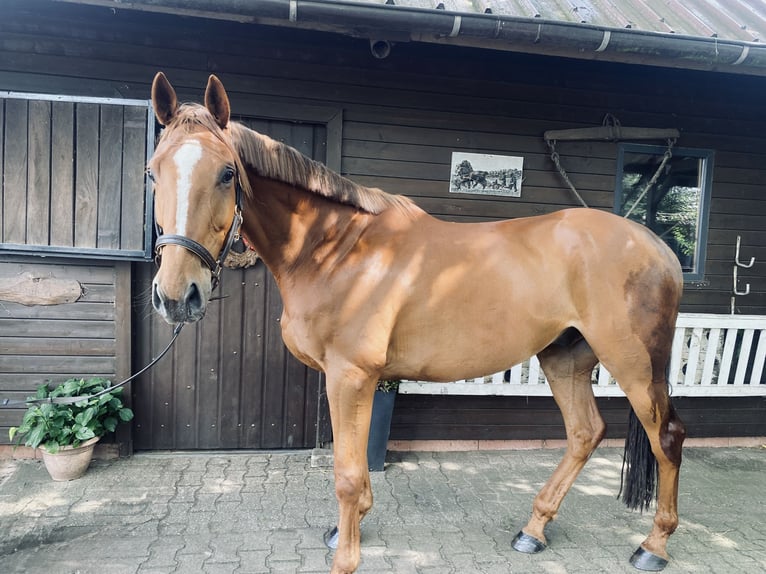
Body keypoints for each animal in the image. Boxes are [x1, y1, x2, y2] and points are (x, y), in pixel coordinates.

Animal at [147, 72, 686, 574]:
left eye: (226, 173)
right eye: (154, 173)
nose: (176, 295)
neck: (335, 250)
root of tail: (658, 248)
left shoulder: (350, 376)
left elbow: (347, 473)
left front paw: (346, 556)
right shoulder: (355, 379)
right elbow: (357, 466)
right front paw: (350, 525)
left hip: (634, 365)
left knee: (667, 438)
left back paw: (653, 546)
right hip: (564, 356)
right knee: (584, 432)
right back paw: (533, 530)